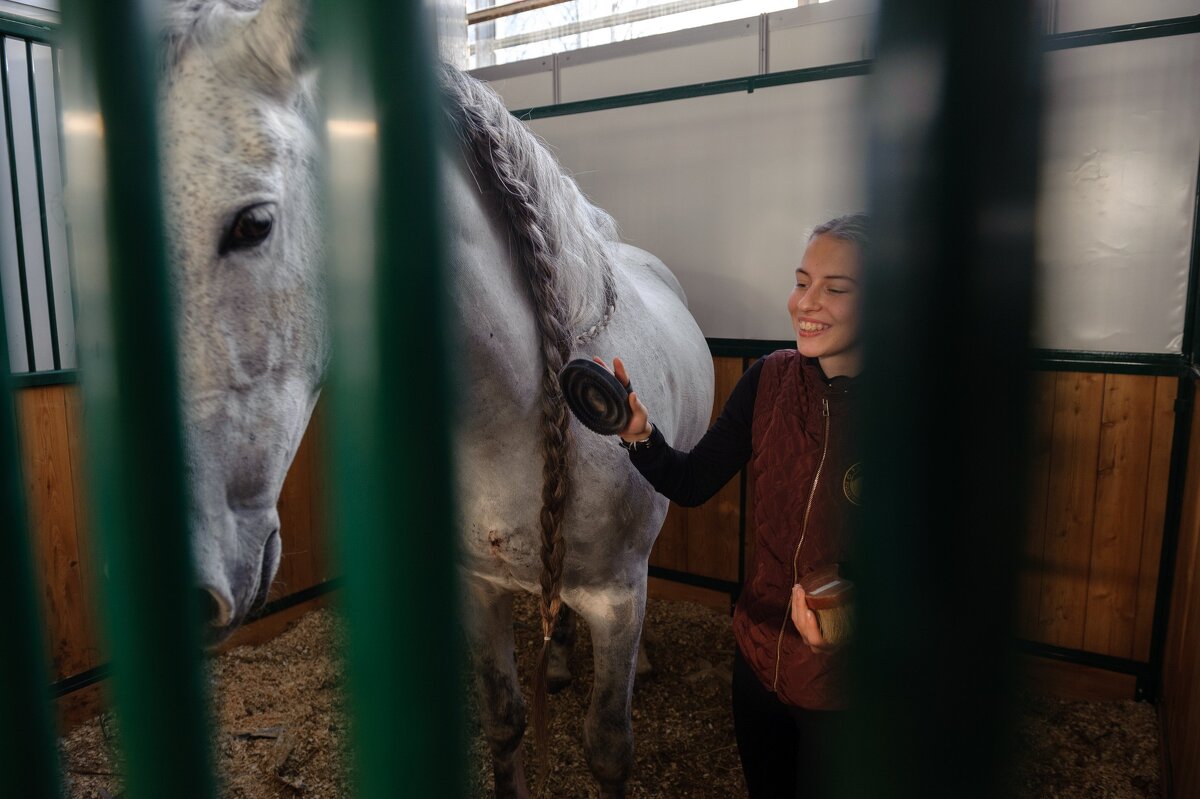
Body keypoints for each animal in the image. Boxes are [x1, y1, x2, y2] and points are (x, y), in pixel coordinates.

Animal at [162, 3, 710, 791]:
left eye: (253, 223)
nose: (180, 583)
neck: (519, 415)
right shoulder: (480, 589)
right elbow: (506, 719)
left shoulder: (617, 603)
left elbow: (609, 747)